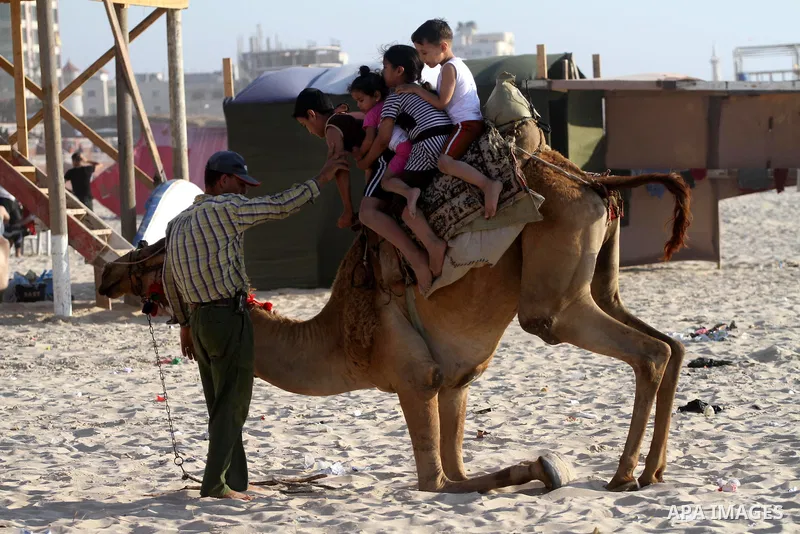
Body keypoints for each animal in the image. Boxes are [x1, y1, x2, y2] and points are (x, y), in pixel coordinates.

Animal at [99, 120, 691, 494]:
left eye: (155, 251)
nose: (108, 274)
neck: (339, 338)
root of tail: (594, 181)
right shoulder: (452, 383)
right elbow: (458, 471)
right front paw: (538, 470)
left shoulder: (413, 379)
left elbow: (438, 481)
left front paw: (543, 468)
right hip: (600, 276)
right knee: (671, 343)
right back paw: (652, 471)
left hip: (553, 294)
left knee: (641, 351)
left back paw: (623, 474)